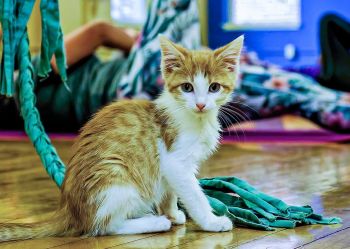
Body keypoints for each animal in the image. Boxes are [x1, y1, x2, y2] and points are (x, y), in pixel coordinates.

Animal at [0, 35, 243, 241]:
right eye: (187, 87)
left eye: (214, 87)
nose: (201, 104)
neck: (197, 118)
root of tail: (69, 211)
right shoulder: (176, 161)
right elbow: (194, 195)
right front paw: (211, 222)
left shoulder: (169, 169)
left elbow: (170, 192)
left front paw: (173, 213)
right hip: (115, 176)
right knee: (104, 227)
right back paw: (154, 222)